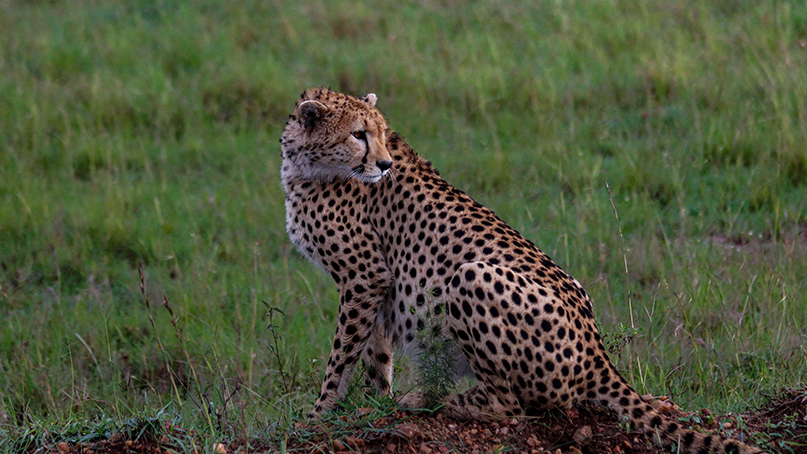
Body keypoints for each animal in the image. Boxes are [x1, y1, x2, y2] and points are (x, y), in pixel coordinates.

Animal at [280, 87, 764, 454]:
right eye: (358, 134)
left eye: (380, 135)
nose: (384, 165)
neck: (304, 167)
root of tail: (598, 351)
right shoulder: (378, 284)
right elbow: (376, 353)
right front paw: (372, 405)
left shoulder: (364, 277)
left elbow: (342, 355)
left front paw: (318, 414)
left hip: (470, 277)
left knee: (513, 406)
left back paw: (435, 398)